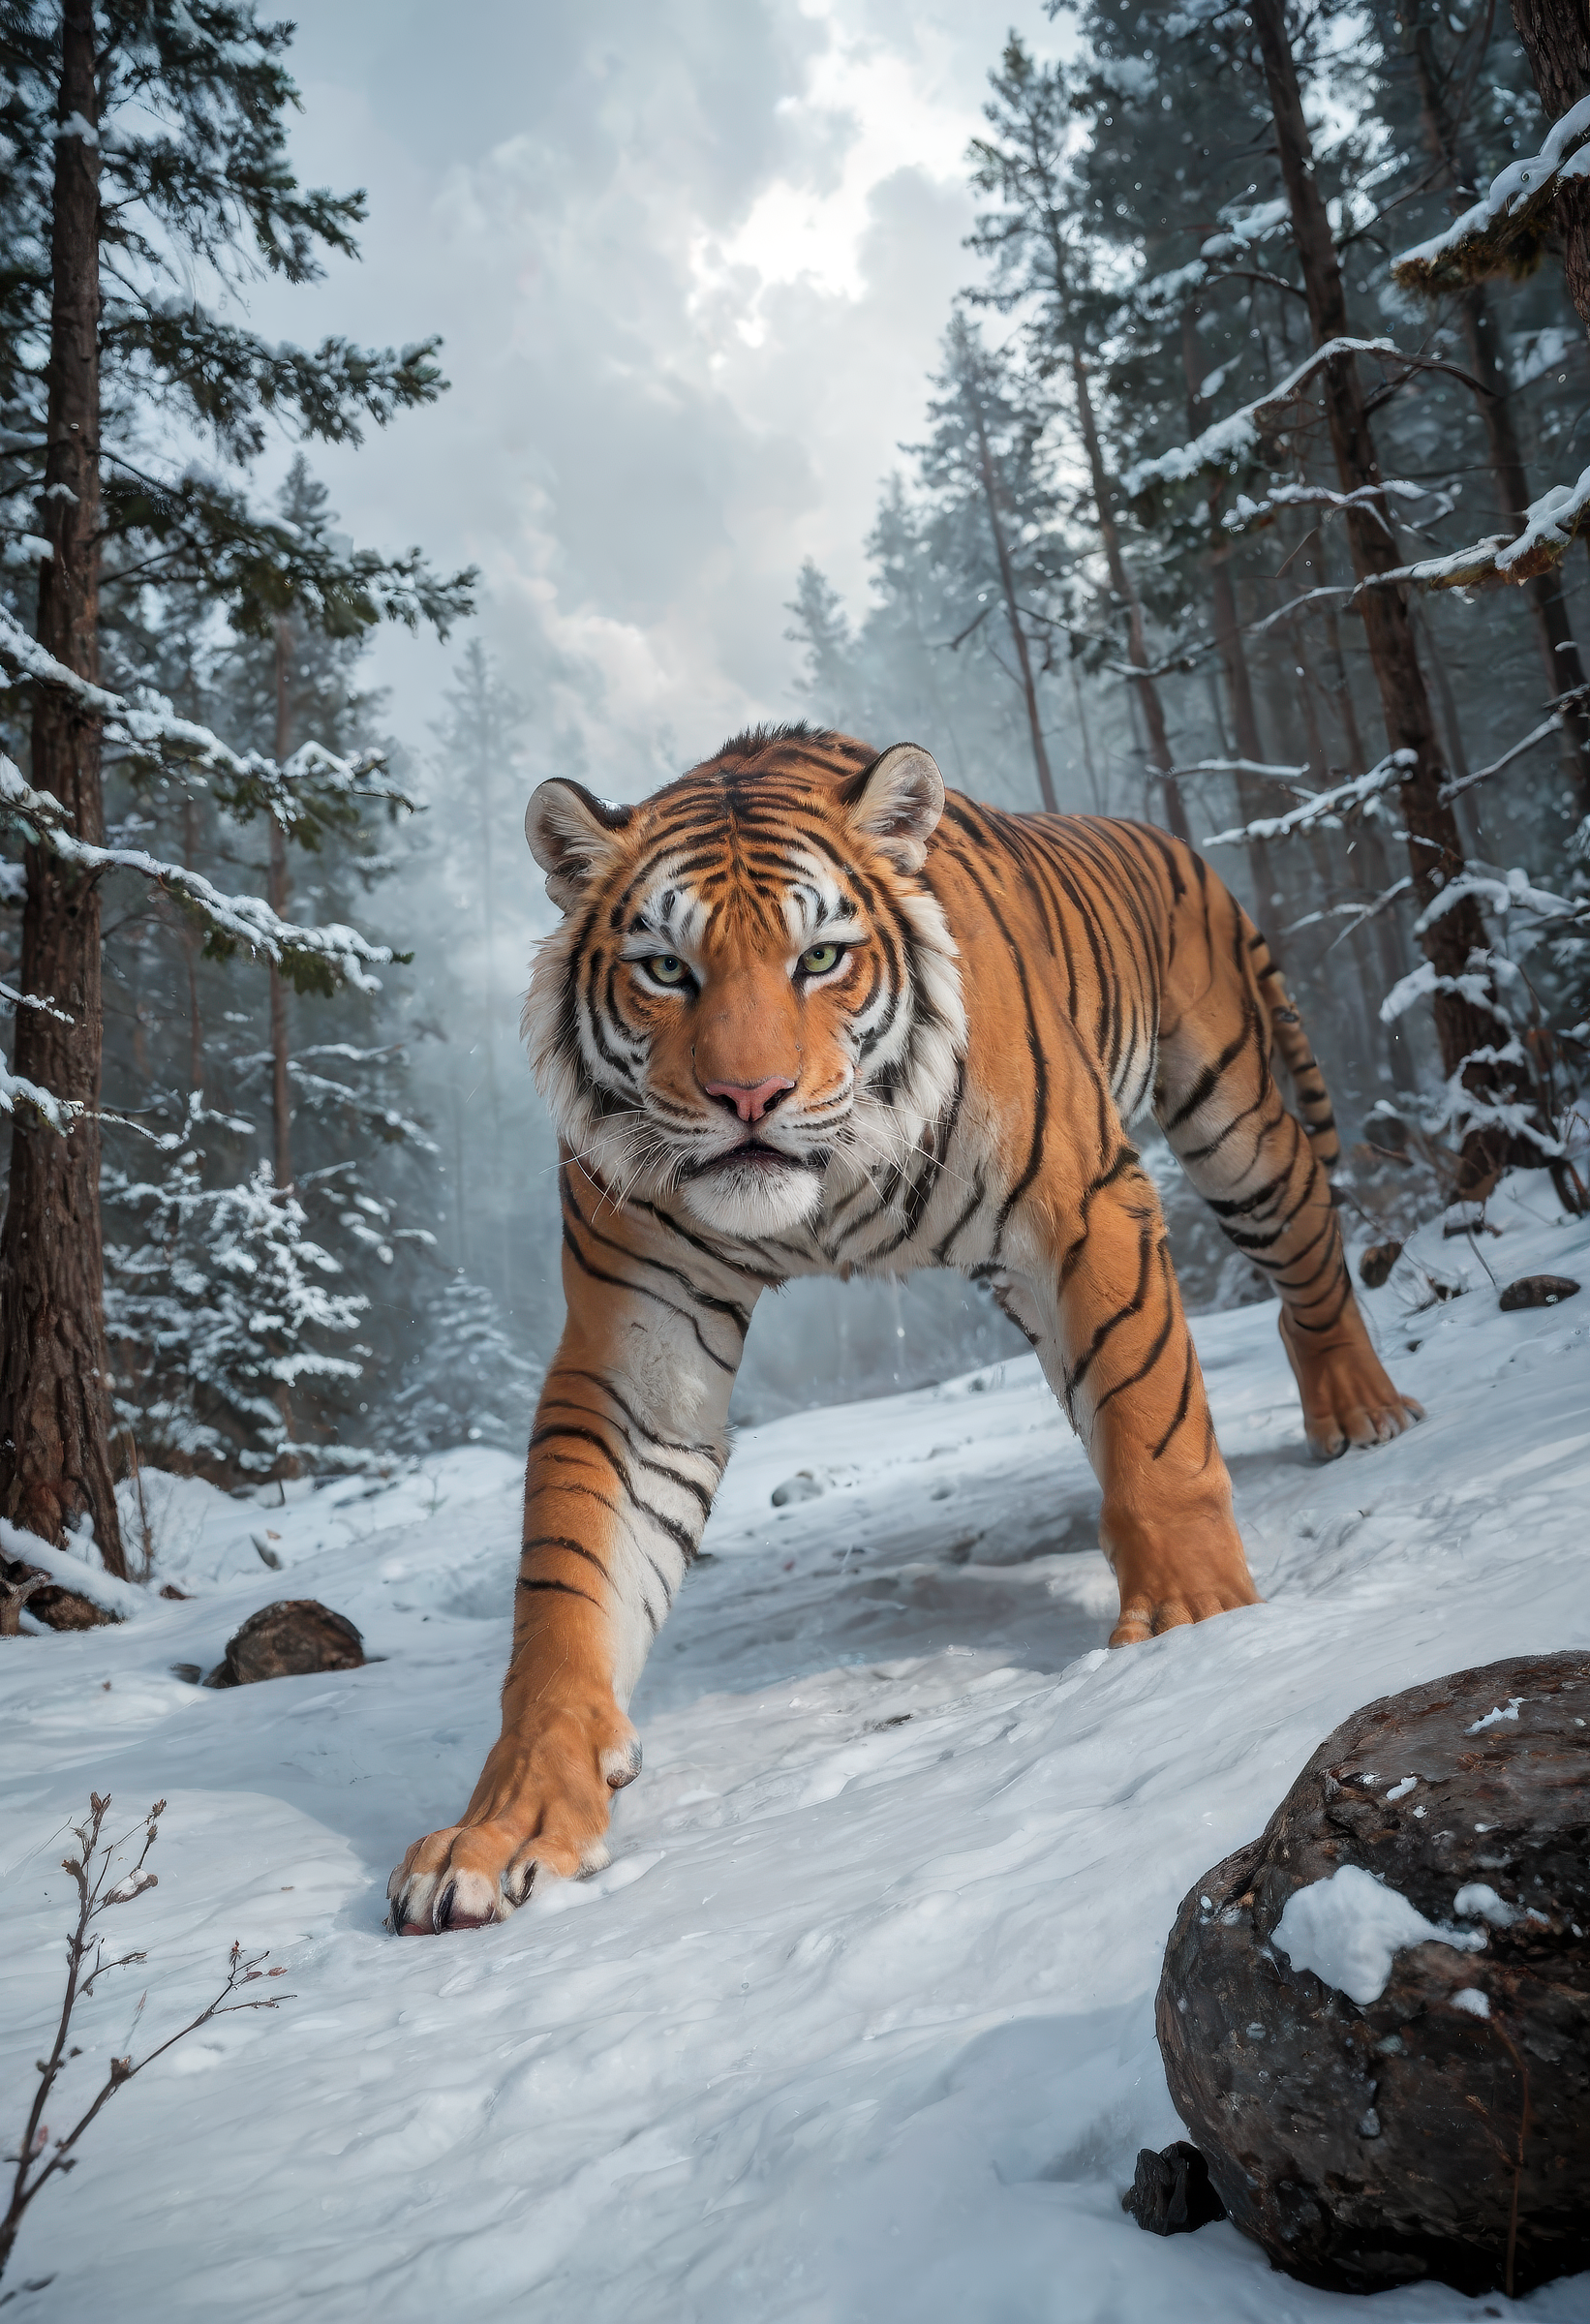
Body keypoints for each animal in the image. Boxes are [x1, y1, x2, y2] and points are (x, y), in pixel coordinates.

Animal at [389, 723, 1422, 1935]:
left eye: (820, 959)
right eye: (666, 970)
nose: (750, 1097)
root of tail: (1167, 836)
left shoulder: (1084, 1209)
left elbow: (1153, 1422)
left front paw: (1194, 1625)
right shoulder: (636, 1340)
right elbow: (567, 1599)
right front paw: (503, 1829)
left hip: (1237, 1125)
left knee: (1307, 1253)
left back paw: (1361, 1412)